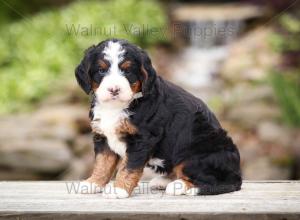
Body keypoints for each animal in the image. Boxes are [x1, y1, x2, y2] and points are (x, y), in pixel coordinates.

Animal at [74, 38, 241, 199]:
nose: (114, 89)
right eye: (101, 70)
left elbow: (128, 167)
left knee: (218, 181)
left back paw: (179, 186)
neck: (116, 107)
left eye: (127, 71)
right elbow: (102, 164)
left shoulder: (141, 139)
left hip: (194, 155)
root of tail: (236, 172)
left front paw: (119, 189)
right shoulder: (102, 137)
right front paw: (92, 183)